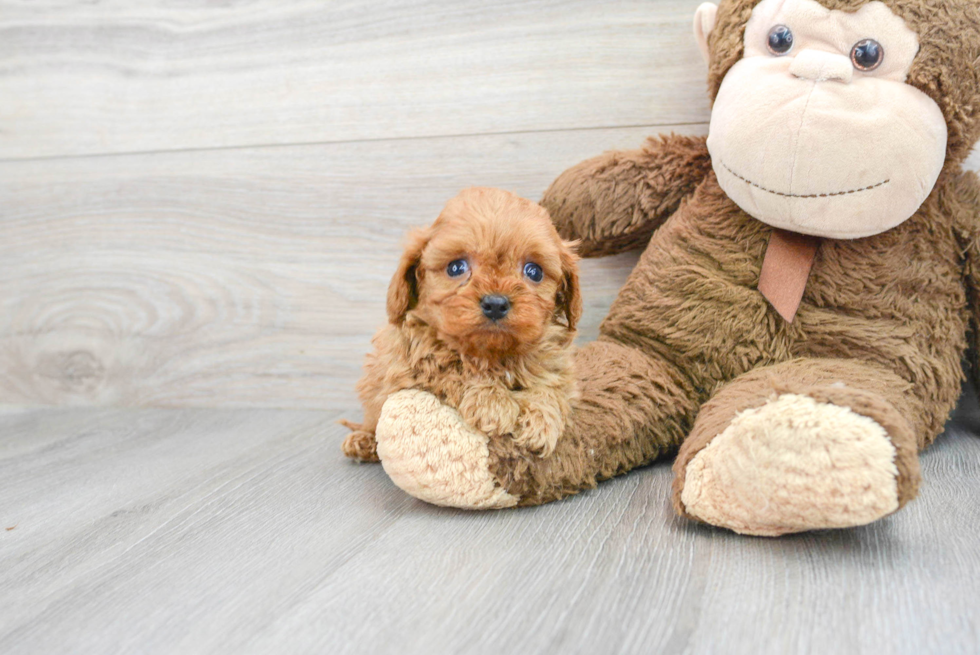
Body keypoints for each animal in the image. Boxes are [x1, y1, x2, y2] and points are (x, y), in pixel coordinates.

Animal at [342, 184, 580, 464]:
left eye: (534, 271)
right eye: (456, 267)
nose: (495, 303)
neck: (493, 354)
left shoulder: (557, 368)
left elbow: (552, 387)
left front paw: (541, 419)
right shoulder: (415, 364)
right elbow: (454, 370)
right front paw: (492, 402)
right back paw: (363, 441)